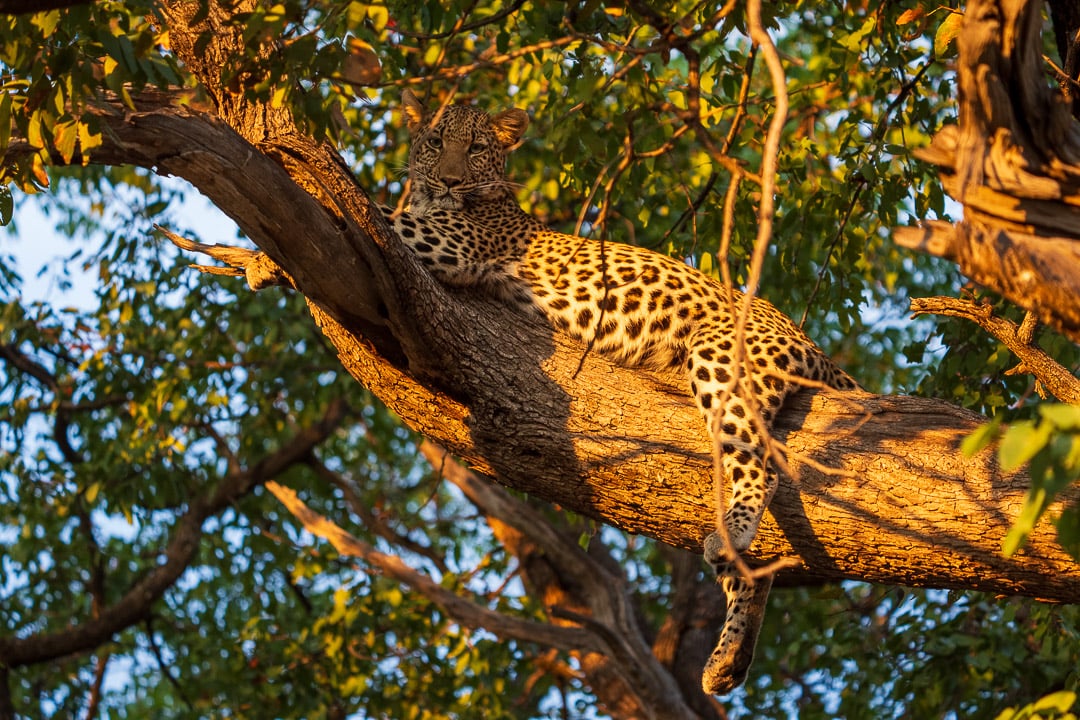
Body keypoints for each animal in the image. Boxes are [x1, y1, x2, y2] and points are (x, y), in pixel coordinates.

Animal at [385, 89, 860, 696]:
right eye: (434, 142)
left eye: (474, 149)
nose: (446, 180)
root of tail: (809, 340)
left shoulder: (449, 243)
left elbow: (383, 213)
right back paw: (727, 658)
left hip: (722, 360)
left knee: (761, 468)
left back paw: (732, 533)